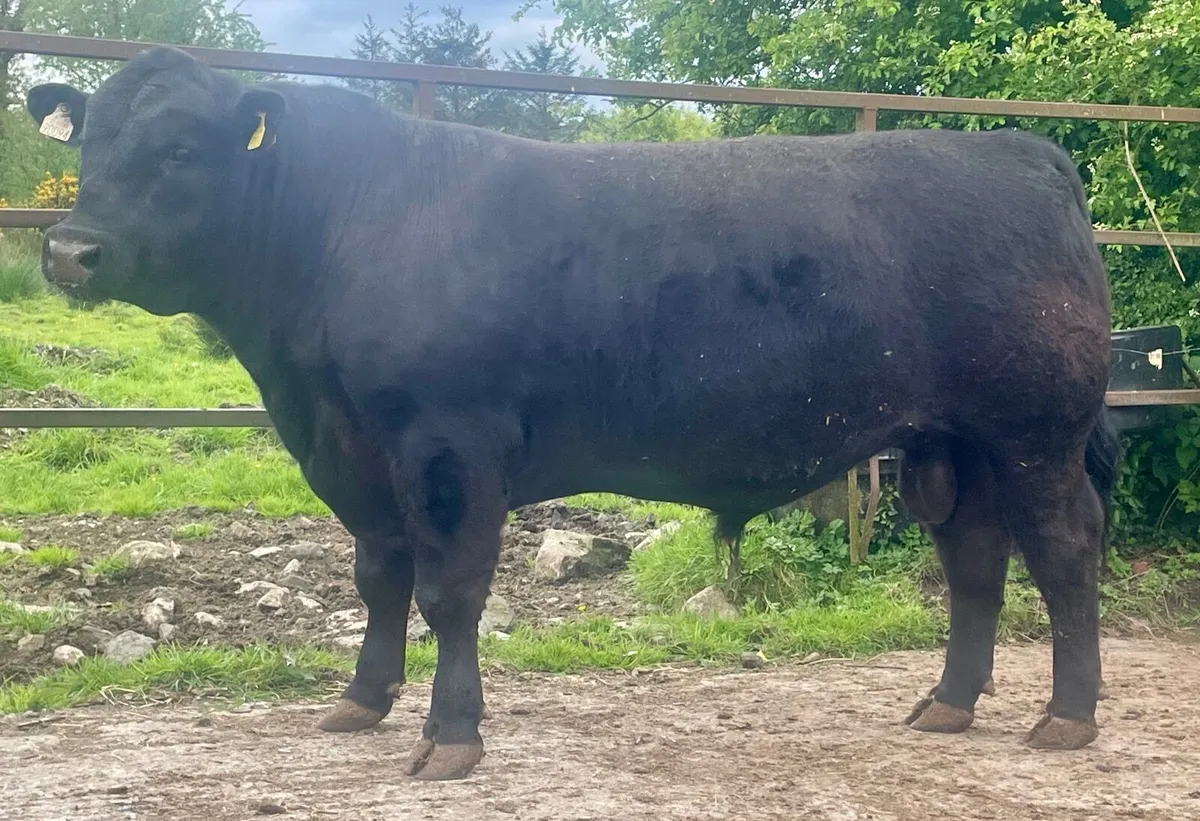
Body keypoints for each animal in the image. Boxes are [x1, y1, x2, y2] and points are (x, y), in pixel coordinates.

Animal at [27, 45, 1118, 781]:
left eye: (181, 148)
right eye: (94, 139)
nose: (70, 251)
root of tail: (1029, 153)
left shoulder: (449, 443)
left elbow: (449, 591)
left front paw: (450, 735)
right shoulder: (353, 449)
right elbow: (378, 577)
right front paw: (361, 700)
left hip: (1036, 431)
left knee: (1065, 549)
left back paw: (1067, 716)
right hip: (954, 441)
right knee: (974, 558)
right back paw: (948, 703)